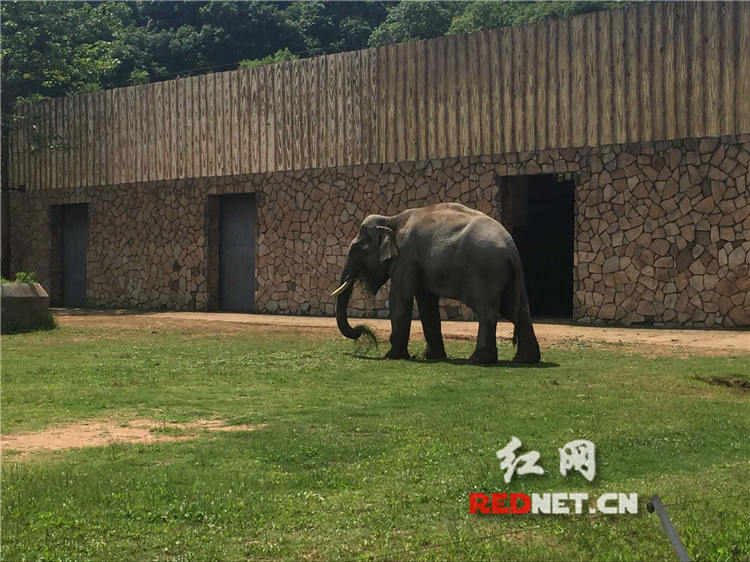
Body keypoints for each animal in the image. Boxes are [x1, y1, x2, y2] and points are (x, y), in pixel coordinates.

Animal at [334, 201, 540, 364]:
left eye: (358, 249)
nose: (362, 330)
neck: (391, 219)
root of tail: (512, 250)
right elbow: (426, 303)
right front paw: (432, 356)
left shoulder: (406, 257)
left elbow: (400, 298)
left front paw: (391, 356)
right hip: (507, 276)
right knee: (518, 311)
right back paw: (525, 360)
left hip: (485, 271)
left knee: (486, 311)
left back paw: (478, 360)